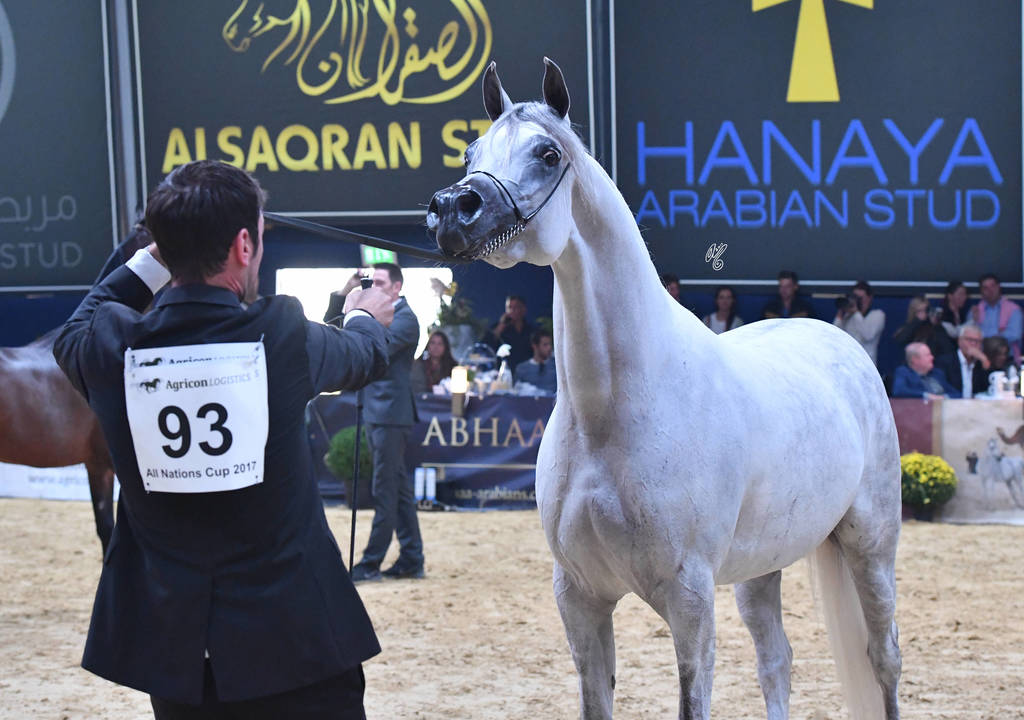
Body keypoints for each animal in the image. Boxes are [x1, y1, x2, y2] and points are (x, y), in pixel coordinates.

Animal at [426, 59, 902, 719]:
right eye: (471, 150)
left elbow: (691, 699)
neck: (613, 413)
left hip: (871, 549)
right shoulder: (579, 598)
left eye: (548, 153)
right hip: (762, 564)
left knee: (884, 660)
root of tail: (841, 344)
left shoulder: (690, 600)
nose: (453, 209)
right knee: (776, 661)